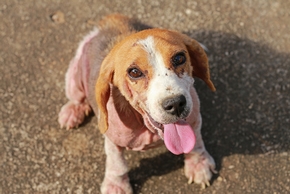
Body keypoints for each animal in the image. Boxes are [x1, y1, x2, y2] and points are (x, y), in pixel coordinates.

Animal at [59, 14, 216, 193]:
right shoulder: (112, 140)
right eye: (134, 72)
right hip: (74, 78)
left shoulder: (195, 118)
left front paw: (198, 164)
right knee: (77, 97)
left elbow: (196, 142)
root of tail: (110, 19)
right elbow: (117, 164)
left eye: (179, 58)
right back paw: (73, 111)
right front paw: (116, 185)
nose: (175, 104)